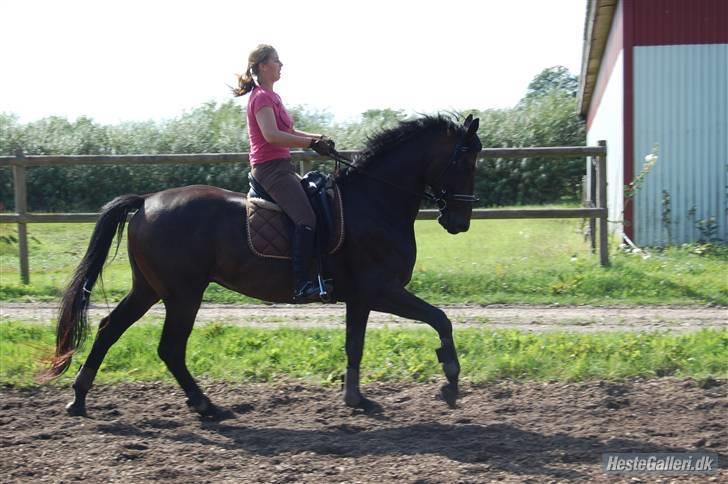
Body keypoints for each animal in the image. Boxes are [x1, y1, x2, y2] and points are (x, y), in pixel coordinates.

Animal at [45, 113, 480, 416]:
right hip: (183, 294)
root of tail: (147, 201)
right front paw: (450, 381)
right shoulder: (383, 290)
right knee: (169, 348)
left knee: (109, 328)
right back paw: (206, 406)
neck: (375, 202)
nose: (459, 222)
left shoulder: (361, 298)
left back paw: (79, 399)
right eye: (468, 160)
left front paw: (356, 399)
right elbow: (441, 319)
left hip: (149, 289)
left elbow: (354, 345)